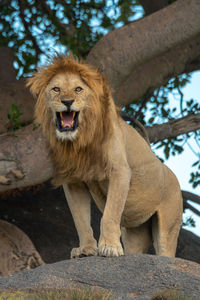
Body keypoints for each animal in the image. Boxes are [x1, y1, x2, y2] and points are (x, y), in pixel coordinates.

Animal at [27, 55, 184, 258]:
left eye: (78, 89)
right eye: (56, 89)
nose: (67, 101)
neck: (80, 140)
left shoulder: (119, 171)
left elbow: (109, 214)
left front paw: (109, 247)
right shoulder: (74, 182)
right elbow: (80, 220)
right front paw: (86, 249)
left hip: (168, 226)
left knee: (166, 252)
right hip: (136, 231)